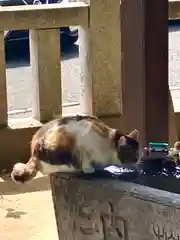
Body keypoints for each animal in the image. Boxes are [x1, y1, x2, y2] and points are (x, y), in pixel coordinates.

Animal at [10, 114, 139, 184]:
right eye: (133, 154)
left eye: (140, 153)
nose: (139, 160)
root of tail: (33, 154)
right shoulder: (85, 139)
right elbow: (87, 161)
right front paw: (90, 169)